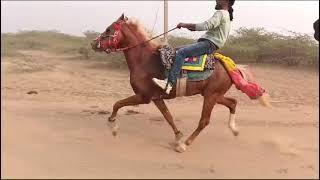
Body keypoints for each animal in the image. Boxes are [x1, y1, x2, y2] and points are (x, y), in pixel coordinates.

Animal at [90, 13, 270, 153]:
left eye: (109, 29)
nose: (93, 43)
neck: (144, 60)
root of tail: (230, 65)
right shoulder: (156, 98)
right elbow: (168, 116)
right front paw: (177, 136)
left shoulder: (143, 96)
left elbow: (117, 104)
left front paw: (113, 127)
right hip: (214, 95)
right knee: (233, 102)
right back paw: (234, 129)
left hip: (211, 96)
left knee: (204, 121)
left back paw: (185, 145)